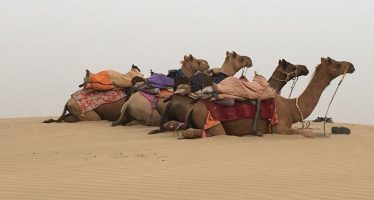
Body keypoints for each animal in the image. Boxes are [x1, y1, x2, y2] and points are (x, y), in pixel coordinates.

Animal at [178, 56, 354, 139]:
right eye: (336, 63)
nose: (351, 65)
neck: (291, 107)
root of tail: (194, 107)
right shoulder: (280, 128)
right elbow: (305, 133)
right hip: (210, 120)